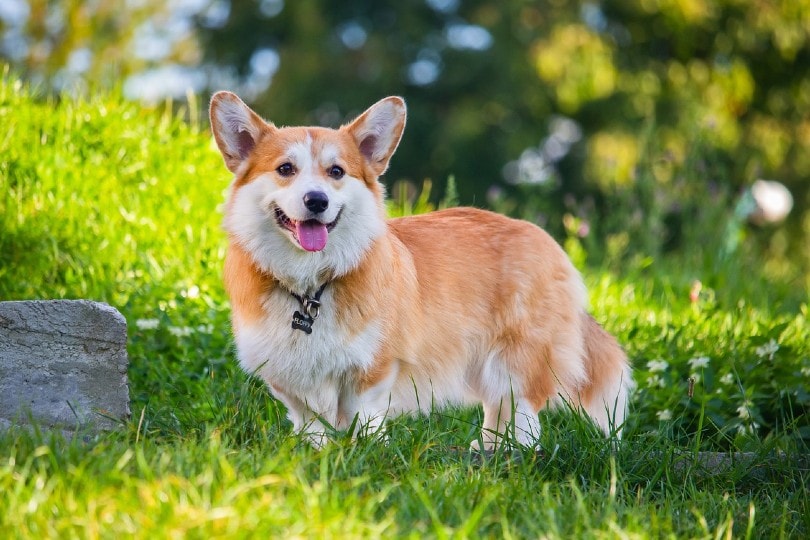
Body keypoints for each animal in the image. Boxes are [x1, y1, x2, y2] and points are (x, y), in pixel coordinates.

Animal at [208, 92, 632, 448]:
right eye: (285, 169)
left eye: (336, 172)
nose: (317, 200)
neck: (312, 285)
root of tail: (548, 241)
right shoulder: (289, 378)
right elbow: (311, 422)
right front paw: (316, 453)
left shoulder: (374, 369)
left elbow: (363, 418)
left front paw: (368, 452)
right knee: (498, 409)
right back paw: (489, 451)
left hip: (517, 359)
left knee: (523, 412)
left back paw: (515, 455)